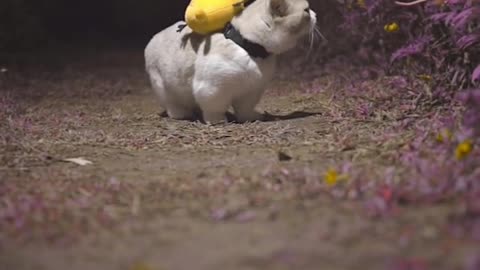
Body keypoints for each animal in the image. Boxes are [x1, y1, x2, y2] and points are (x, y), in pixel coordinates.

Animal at [144, 0, 316, 124]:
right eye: (307, 10)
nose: (315, 14)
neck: (251, 49)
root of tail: (152, 39)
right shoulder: (213, 89)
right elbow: (214, 110)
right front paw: (218, 122)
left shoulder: (252, 91)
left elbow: (245, 110)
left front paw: (249, 118)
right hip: (165, 88)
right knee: (173, 106)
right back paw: (183, 114)